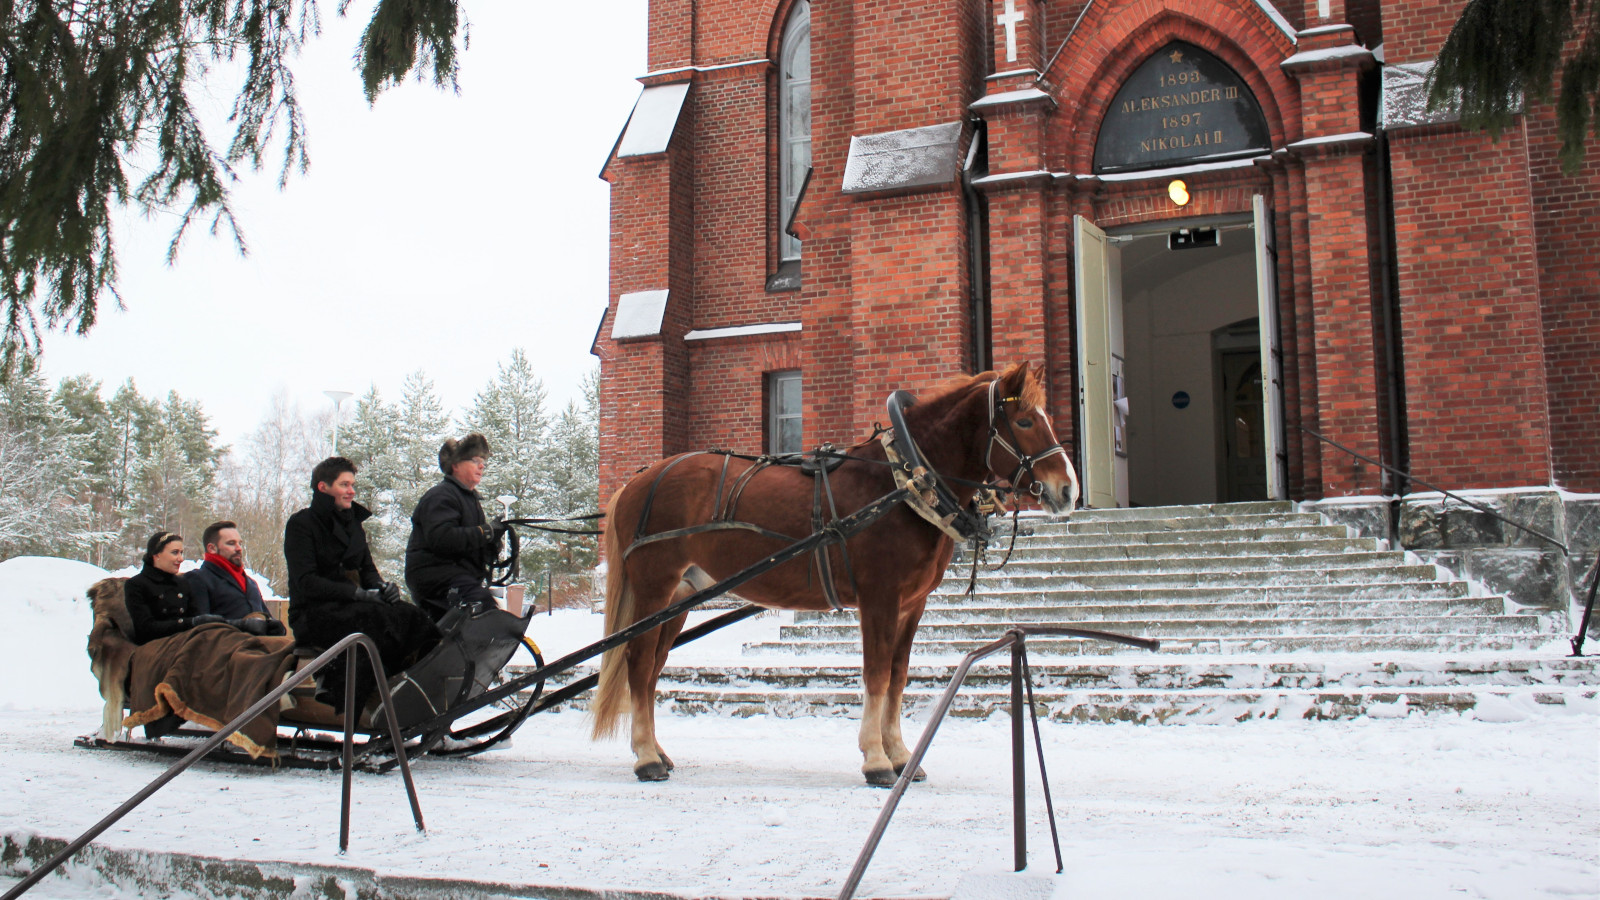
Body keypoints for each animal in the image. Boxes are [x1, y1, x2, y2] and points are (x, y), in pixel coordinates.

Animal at [588, 360, 1075, 781]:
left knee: (653, 668)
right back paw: (646, 758)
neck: (903, 483)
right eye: (1025, 422)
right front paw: (876, 760)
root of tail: (638, 480)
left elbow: (898, 677)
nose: (1067, 490)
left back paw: (657, 750)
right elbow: (877, 674)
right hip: (654, 587)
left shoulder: (911, 606)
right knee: (637, 662)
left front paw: (902, 756)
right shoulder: (879, 598)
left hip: (680, 597)